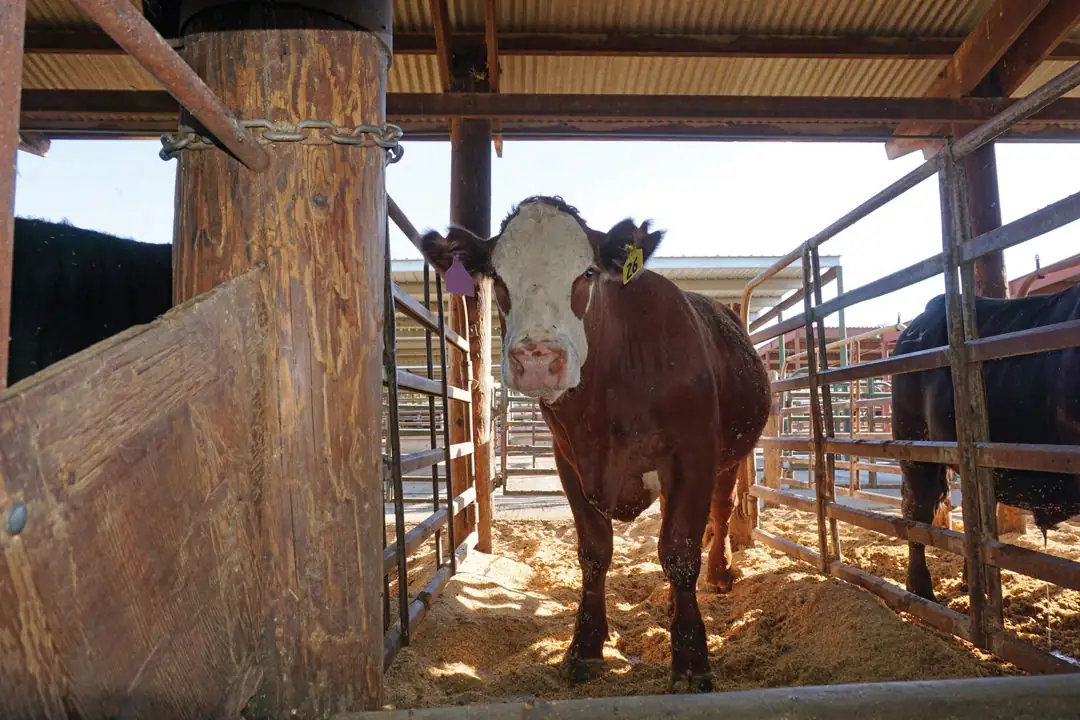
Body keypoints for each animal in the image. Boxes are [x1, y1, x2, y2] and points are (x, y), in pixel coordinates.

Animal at [419, 196, 771, 692]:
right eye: (499, 279)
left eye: (586, 273)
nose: (538, 359)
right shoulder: (569, 461)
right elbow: (594, 551)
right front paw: (584, 647)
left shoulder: (694, 453)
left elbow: (680, 551)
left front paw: (691, 659)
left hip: (729, 458)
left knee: (720, 513)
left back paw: (718, 575)